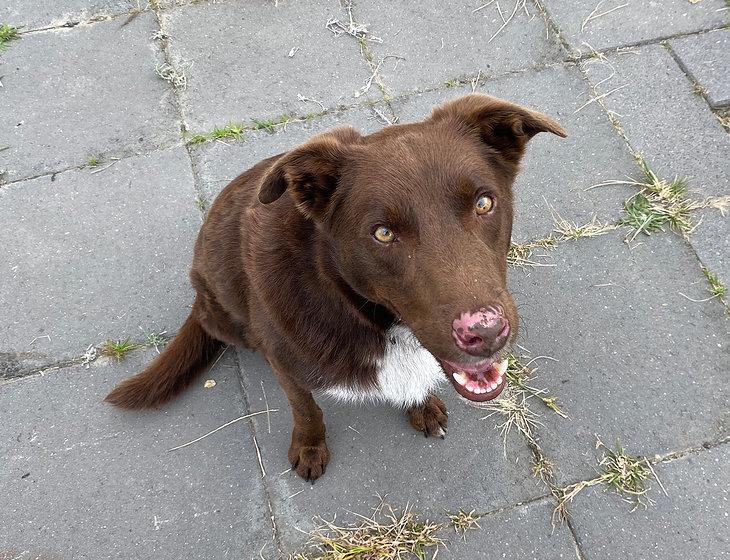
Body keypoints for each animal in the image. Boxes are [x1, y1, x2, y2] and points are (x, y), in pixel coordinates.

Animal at [105, 93, 564, 482]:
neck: (362, 313)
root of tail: (198, 296)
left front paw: (421, 404)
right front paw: (310, 448)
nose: (485, 332)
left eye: (484, 203)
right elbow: (306, 409)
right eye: (383, 233)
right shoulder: (285, 365)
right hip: (226, 318)